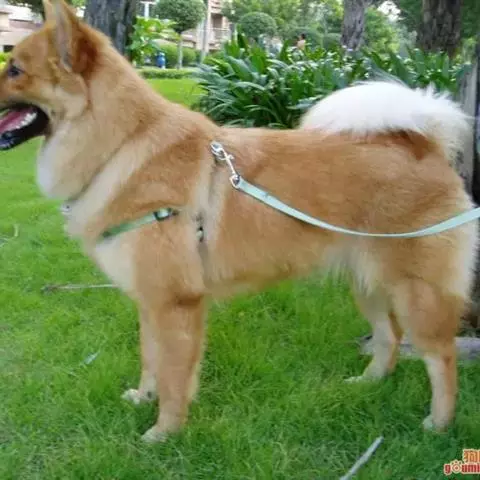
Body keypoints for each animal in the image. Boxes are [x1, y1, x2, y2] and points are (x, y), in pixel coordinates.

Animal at [0, 0, 476, 442]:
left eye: (15, 69)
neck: (122, 146)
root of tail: (425, 145)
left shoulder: (175, 304)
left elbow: (174, 377)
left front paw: (164, 432)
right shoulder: (151, 302)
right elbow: (151, 359)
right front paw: (144, 398)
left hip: (416, 295)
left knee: (441, 357)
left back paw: (439, 422)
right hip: (368, 284)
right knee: (389, 338)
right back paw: (368, 383)